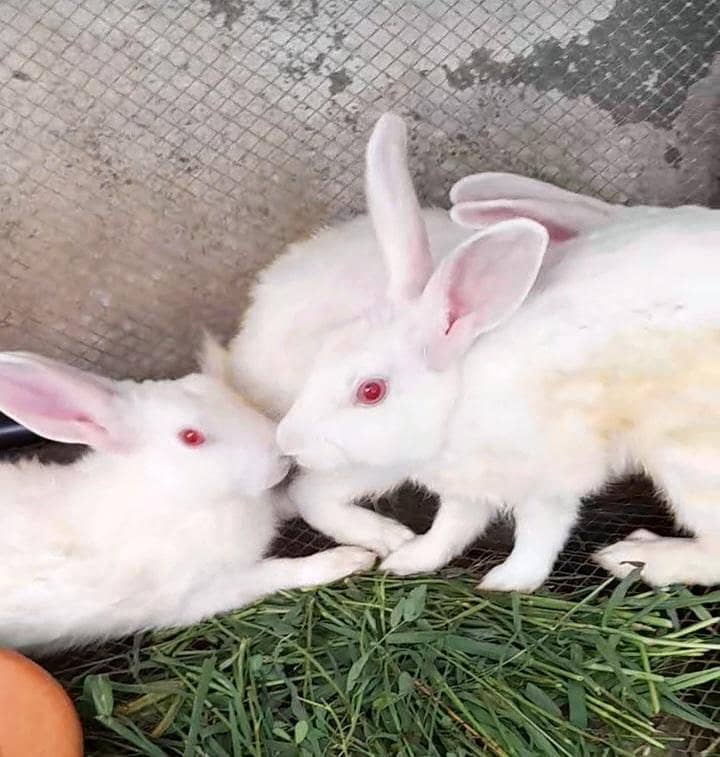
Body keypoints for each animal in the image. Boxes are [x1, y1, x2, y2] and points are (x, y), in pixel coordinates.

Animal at [0, 346, 375, 652]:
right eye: (191, 437)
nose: (281, 453)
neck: (176, 495)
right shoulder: (207, 592)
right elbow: (281, 572)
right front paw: (348, 560)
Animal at [274, 113, 720, 592]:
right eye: (324, 352)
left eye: (371, 391)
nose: (288, 443)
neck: (456, 399)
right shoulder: (466, 489)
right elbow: (452, 526)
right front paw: (408, 558)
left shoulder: (548, 480)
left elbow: (540, 534)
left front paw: (506, 581)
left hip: (690, 464)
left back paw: (632, 556)